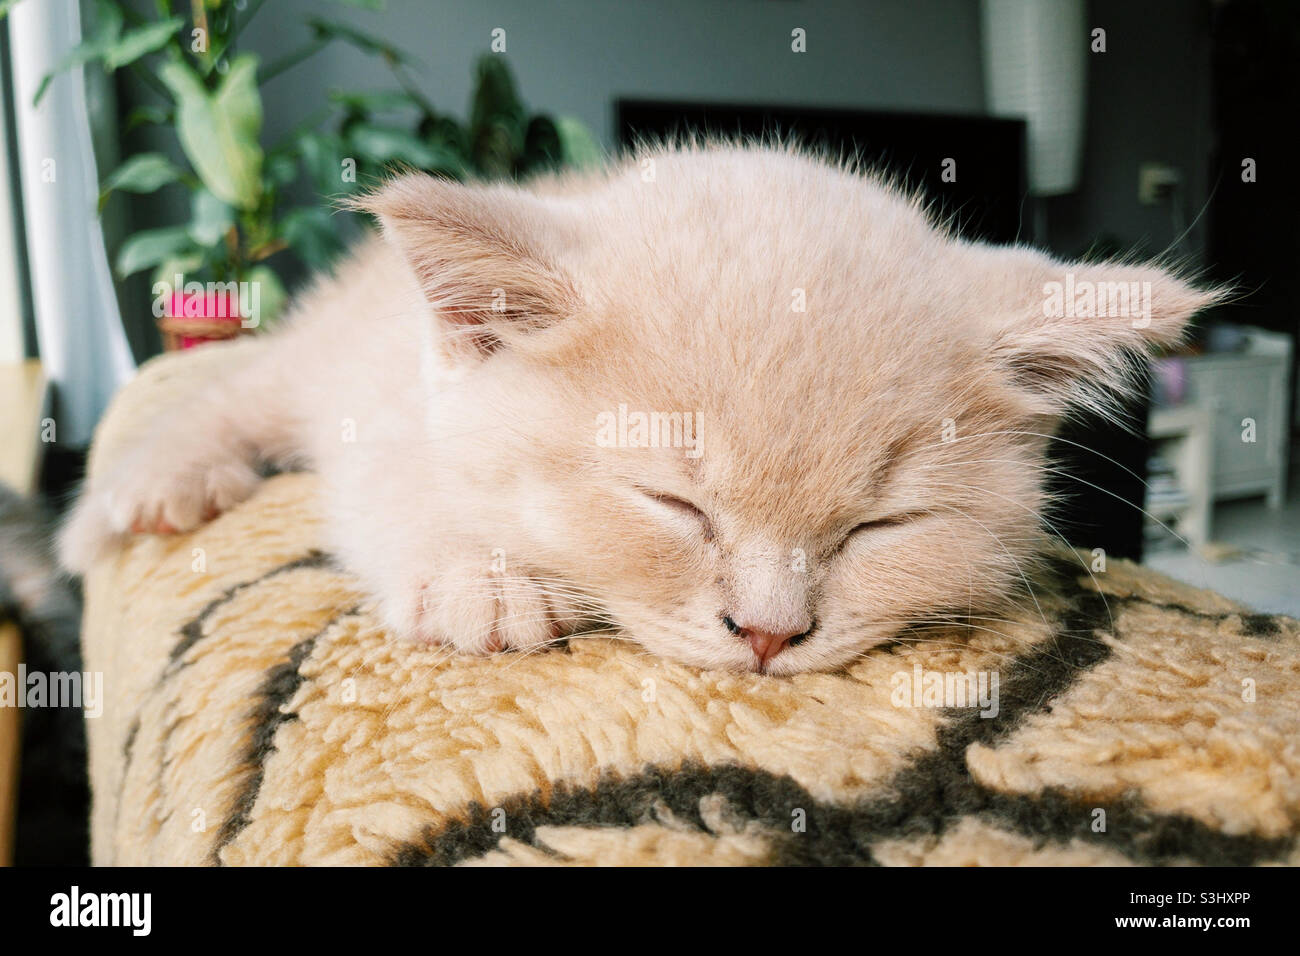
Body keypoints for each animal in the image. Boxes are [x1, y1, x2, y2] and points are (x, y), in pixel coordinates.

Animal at [61, 145, 1216, 676]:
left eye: (879, 527)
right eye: (675, 505)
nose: (767, 635)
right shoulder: (381, 403)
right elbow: (394, 483)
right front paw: (481, 581)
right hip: (323, 347)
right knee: (238, 390)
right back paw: (146, 490)